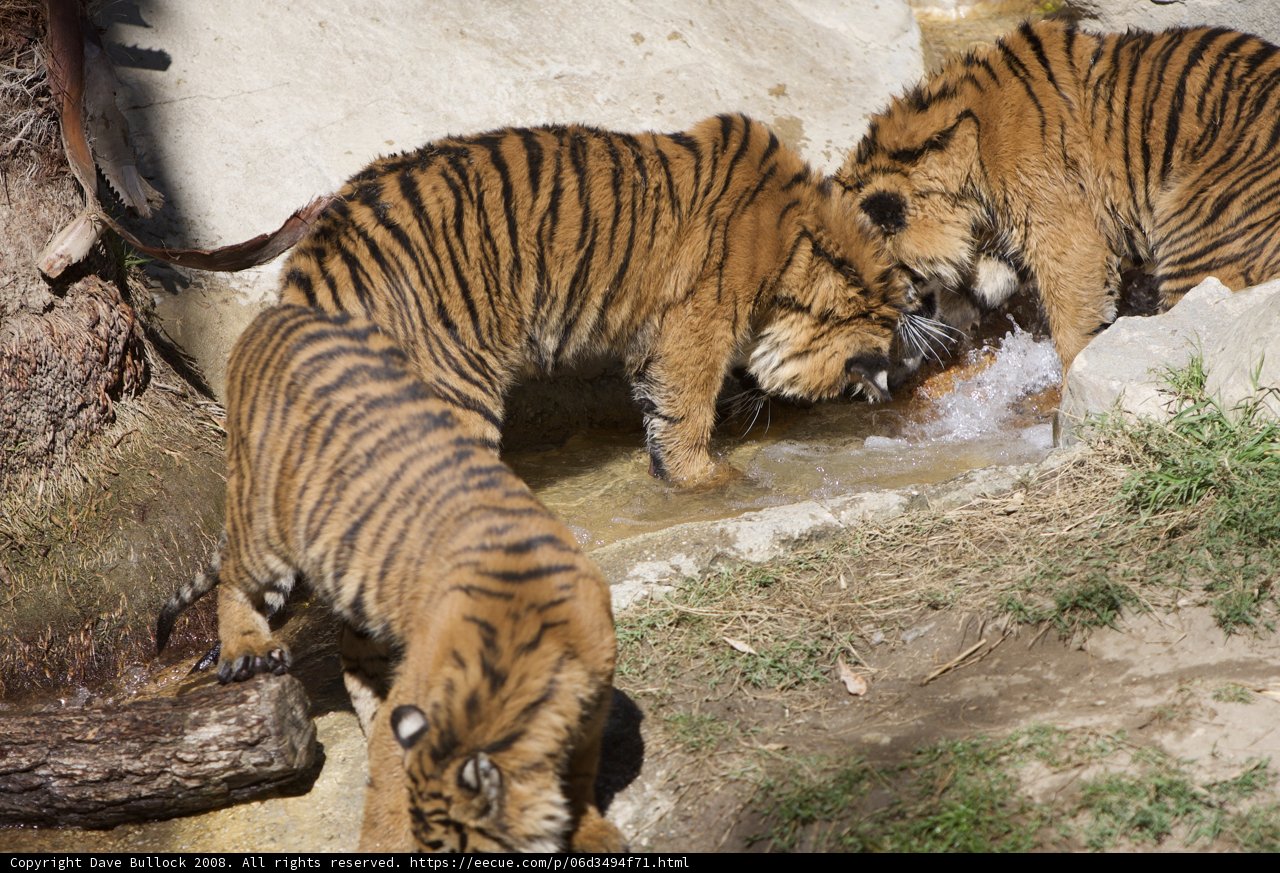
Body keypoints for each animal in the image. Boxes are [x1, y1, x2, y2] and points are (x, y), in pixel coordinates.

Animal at [155, 304, 623, 853]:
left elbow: (581, 774)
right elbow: (386, 798)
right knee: (234, 581)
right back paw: (246, 649)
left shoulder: (594, 705)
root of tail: (278, 311)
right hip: (264, 522)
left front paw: (592, 831)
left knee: (352, 657)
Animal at [277, 113, 914, 486]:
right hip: (449, 383)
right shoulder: (694, 329)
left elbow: (661, 413)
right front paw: (709, 481)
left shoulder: (655, 342)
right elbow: (689, 411)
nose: (896, 381)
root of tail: (326, 242)